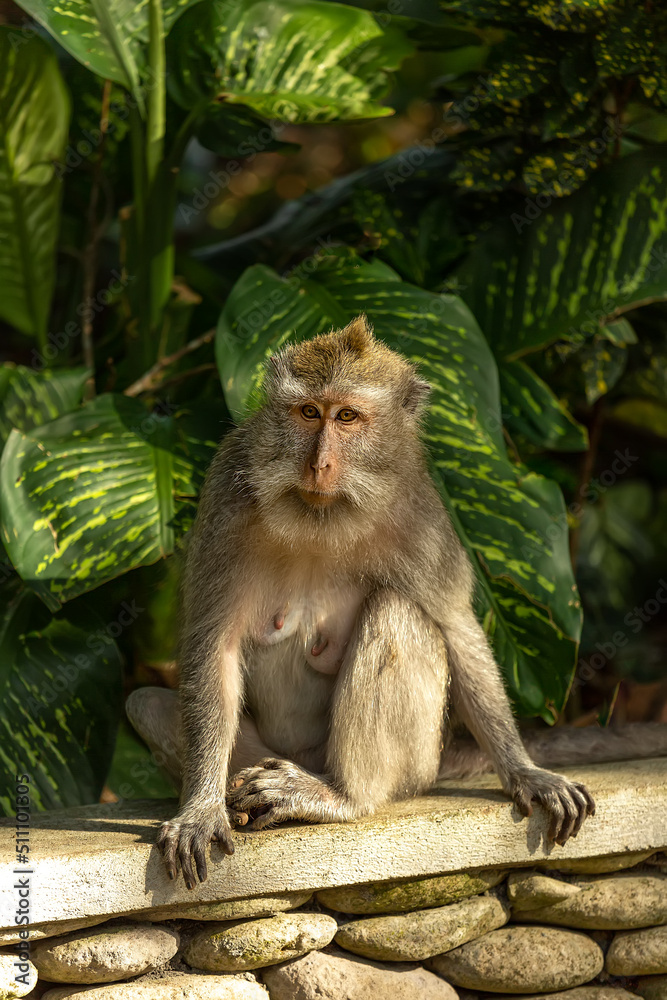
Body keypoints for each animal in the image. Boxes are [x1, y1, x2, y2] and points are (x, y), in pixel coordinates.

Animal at [126, 316, 667, 891]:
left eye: (348, 417)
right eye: (309, 412)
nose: (318, 464)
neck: (321, 515)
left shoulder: (422, 517)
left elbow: (456, 627)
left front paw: (525, 771)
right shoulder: (225, 500)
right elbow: (215, 645)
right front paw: (202, 810)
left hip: (416, 762)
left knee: (396, 612)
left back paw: (341, 796)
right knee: (148, 705)